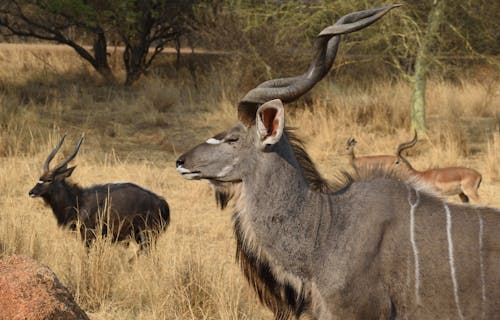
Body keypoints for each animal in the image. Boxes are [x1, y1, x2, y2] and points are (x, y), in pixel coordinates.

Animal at [29, 135, 170, 250]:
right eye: (40, 177)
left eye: (49, 179)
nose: (31, 192)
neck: (78, 200)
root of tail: (162, 203)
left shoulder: (89, 235)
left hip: (146, 234)